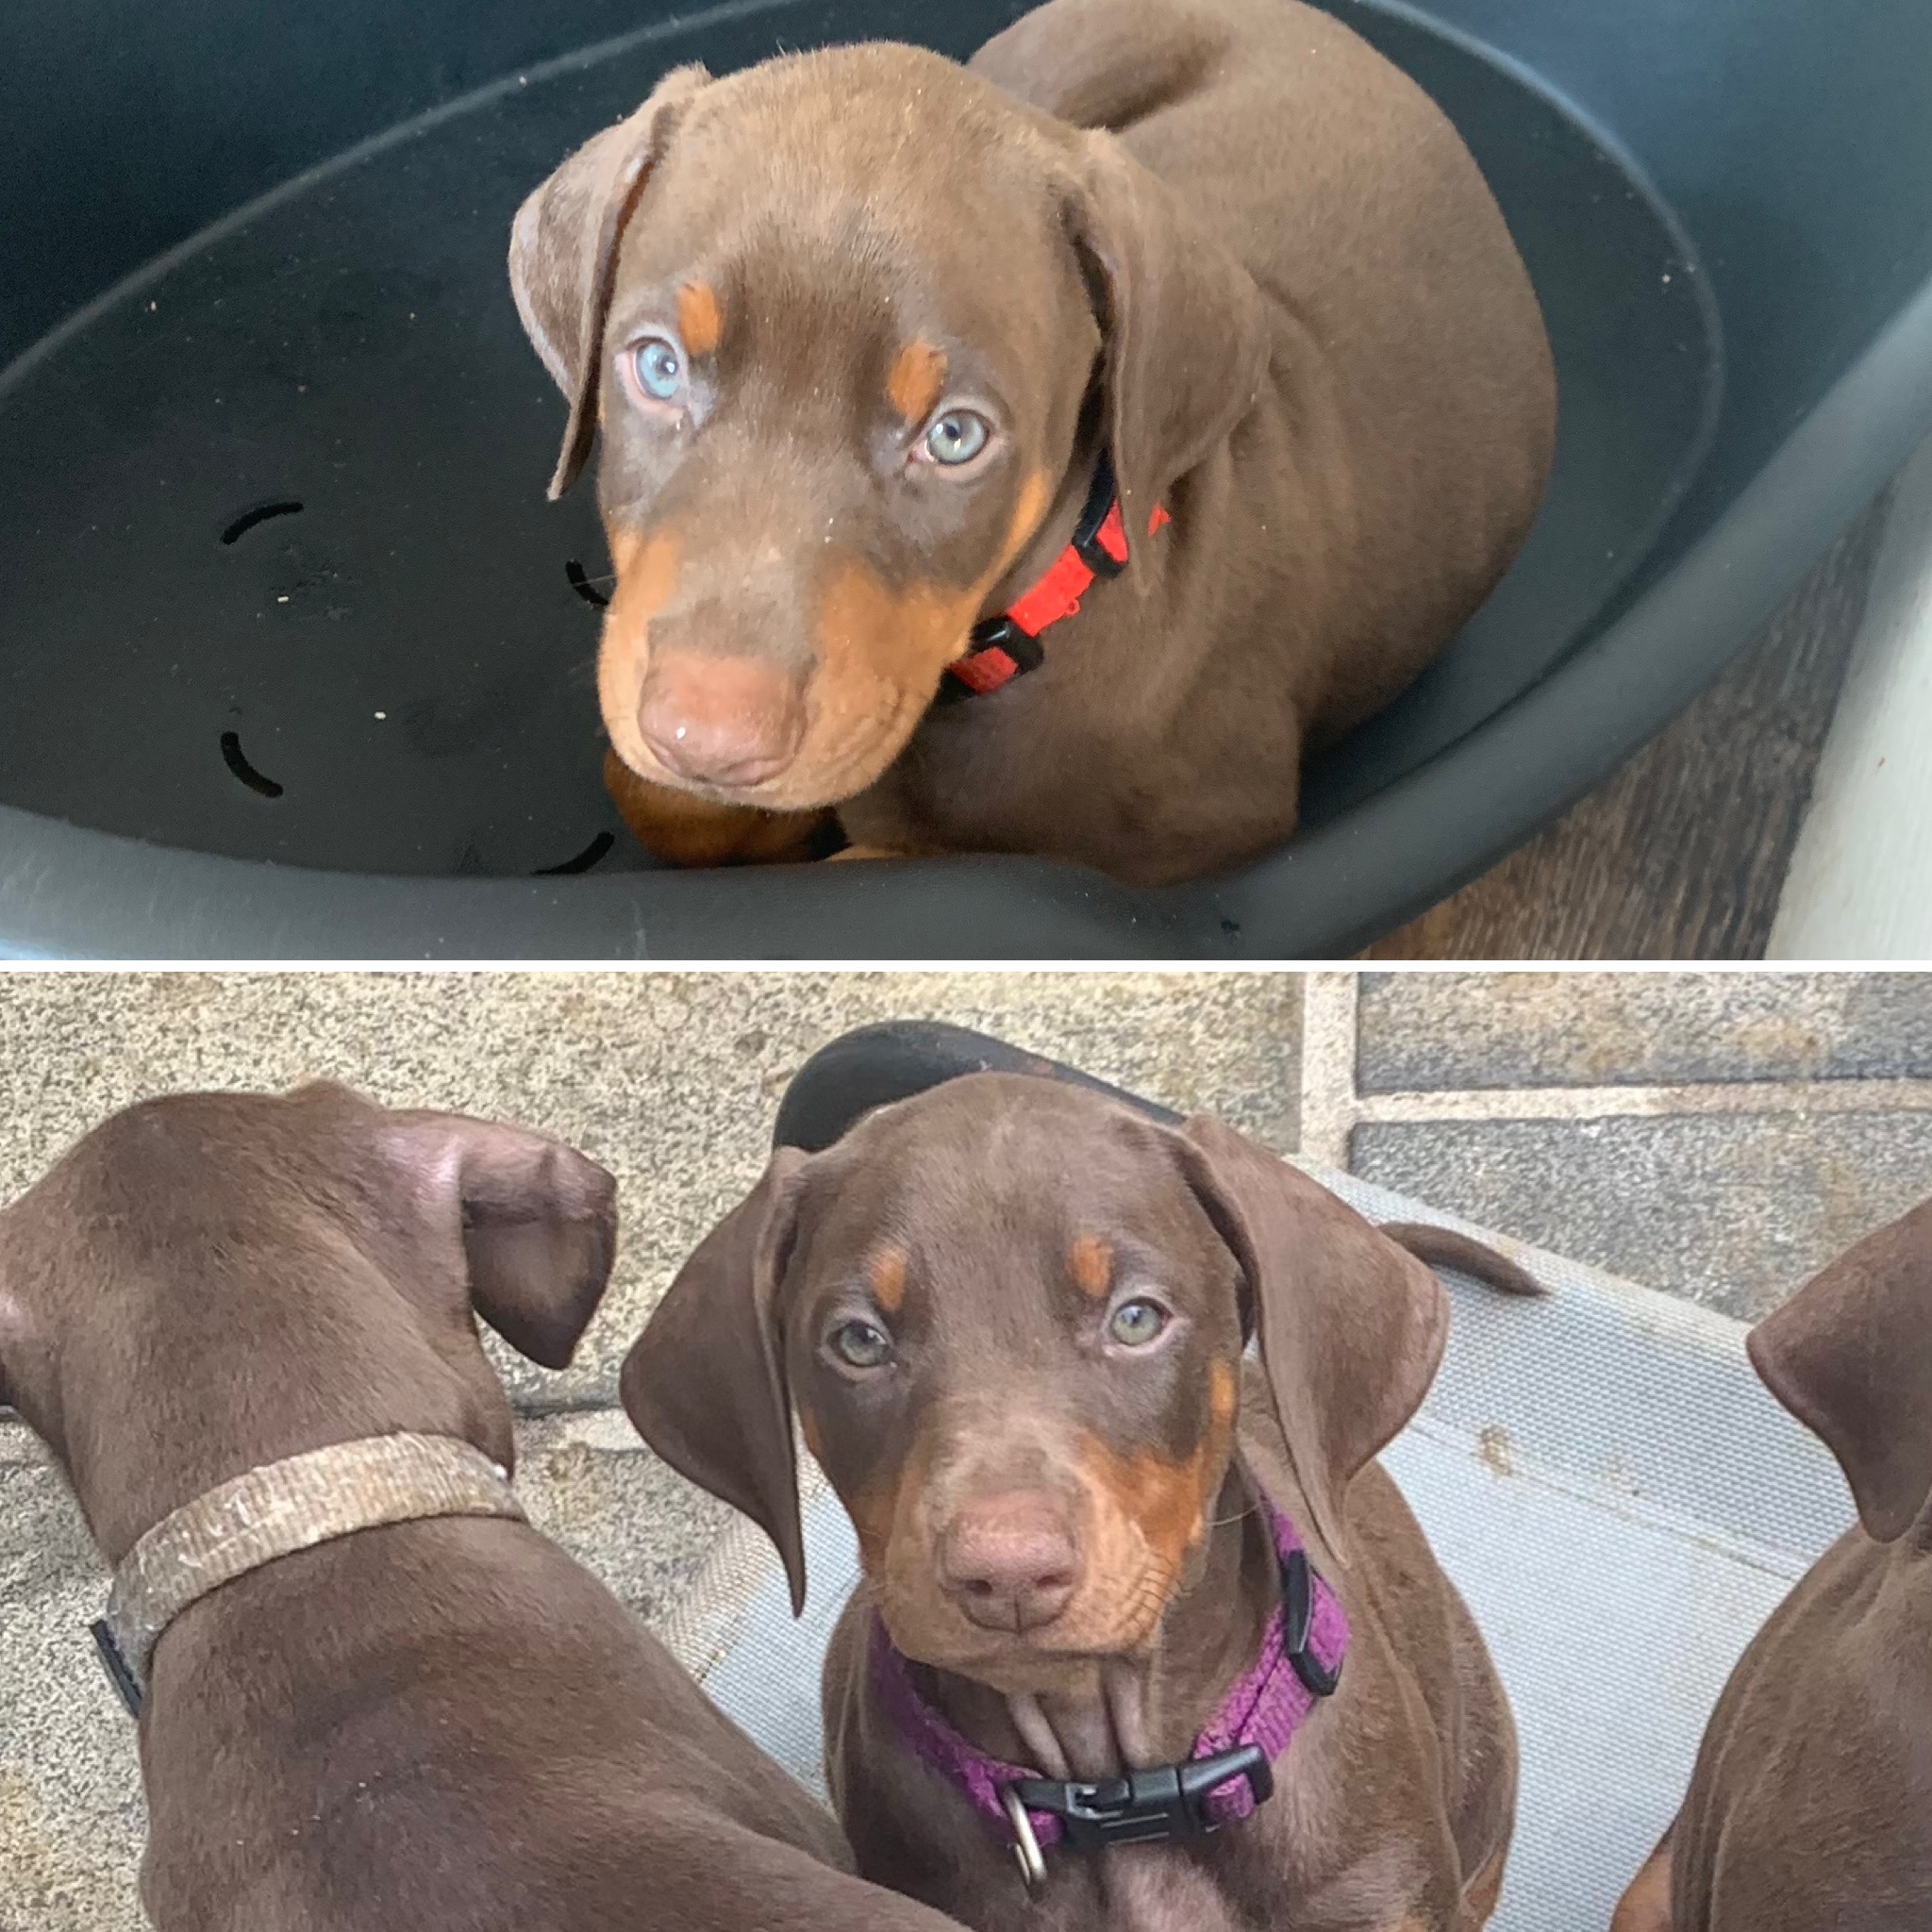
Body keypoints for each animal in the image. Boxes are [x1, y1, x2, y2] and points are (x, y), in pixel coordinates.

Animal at [509, 0, 1553, 884]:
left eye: (955, 436)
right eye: (656, 368)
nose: (711, 739)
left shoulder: (1195, 834)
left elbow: (889, 848)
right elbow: (653, 794)